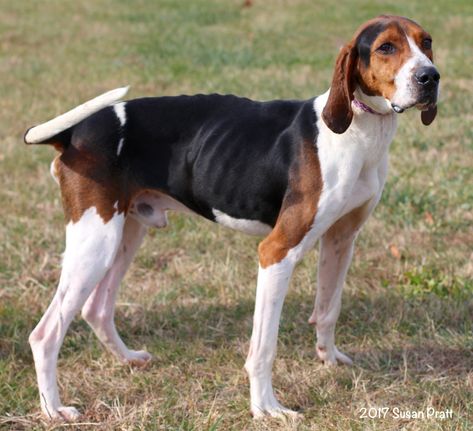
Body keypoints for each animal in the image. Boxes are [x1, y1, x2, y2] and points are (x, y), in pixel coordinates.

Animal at [24, 14, 438, 422]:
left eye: (427, 42)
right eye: (386, 47)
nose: (430, 77)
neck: (360, 130)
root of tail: (76, 131)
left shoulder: (341, 239)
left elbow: (327, 310)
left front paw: (329, 359)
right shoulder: (276, 253)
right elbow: (264, 347)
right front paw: (266, 407)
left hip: (125, 234)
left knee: (96, 309)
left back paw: (128, 359)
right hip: (96, 241)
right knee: (45, 334)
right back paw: (53, 409)